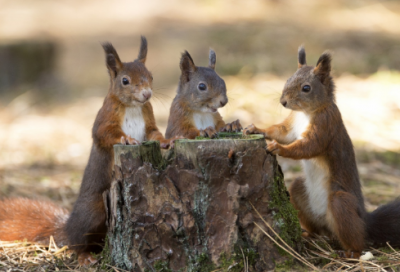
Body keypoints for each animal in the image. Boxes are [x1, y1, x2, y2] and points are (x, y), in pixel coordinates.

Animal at [0, 36, 175, 266]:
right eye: (125, 81)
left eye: (151, 76)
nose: (147, 94)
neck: (133, 106)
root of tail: (68, 226)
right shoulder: (104, 120)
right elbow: (105, 134)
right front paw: (127, 139)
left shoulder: (149, 121)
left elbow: (155, 134)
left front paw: (167, 141)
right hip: (93, 213)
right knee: (77, 243)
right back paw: (85, 257)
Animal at [242, 47, 400, 260]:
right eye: (287, 79)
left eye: (306, 88)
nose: (283, 102)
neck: (306, 113)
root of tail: (365, 220)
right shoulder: (291, 125)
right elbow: (281, 132)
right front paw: (255, 128)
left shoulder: (325, 125)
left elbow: (309, 146)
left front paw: (279, 148)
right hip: (300, 192)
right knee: (314, 224)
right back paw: (307, 234)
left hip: (341, 204)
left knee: (356, 238)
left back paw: (350, 252)